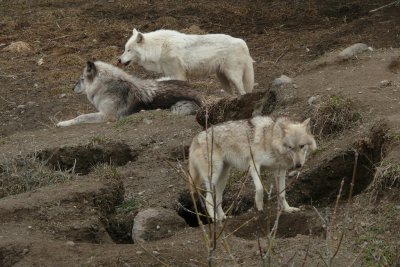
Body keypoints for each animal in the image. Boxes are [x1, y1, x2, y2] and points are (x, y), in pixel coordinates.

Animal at [56, 61, 203, 127]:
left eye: (81, 79)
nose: (72, 88)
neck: (105, 87)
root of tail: (199, 94)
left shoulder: (107, 116)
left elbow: (81, 117)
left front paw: (63, 123)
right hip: (160, 80)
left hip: (178, 108)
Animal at [117, 28, 253, 96]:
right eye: (125, 49)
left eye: (129, 50)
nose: (118, 60)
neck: (158, 48)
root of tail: (242, 42)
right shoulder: (170, 73)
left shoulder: (178, 74)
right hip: (222, 78)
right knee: (233, 92)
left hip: (233, 76)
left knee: (243, 91)